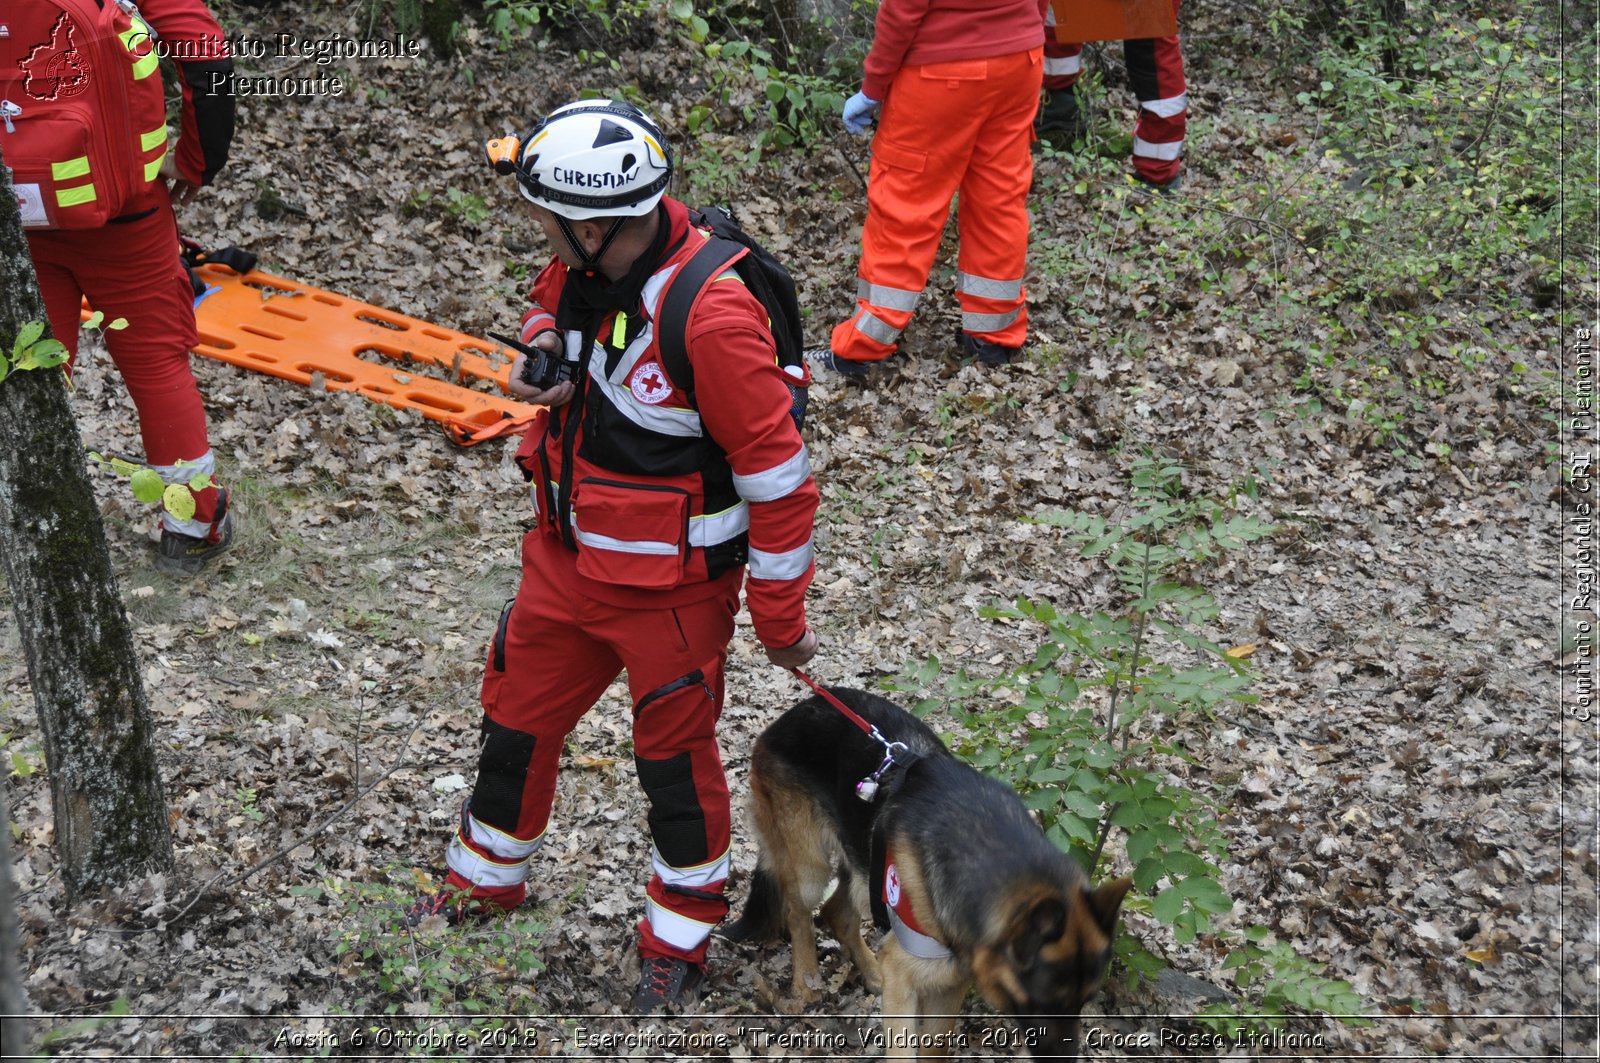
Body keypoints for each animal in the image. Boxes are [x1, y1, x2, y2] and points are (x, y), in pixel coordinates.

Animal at [720, 685, 1132, 1056]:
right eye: (1046, 999)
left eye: (1084, 1000)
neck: (981, 846)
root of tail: (791, 714)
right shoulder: (908, 979)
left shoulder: (950, 978)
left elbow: (936, 1042)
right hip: (811, 867)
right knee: (800, 914)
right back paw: (806, 983)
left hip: (860, 864)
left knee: (837, 913)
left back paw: (871, 970)